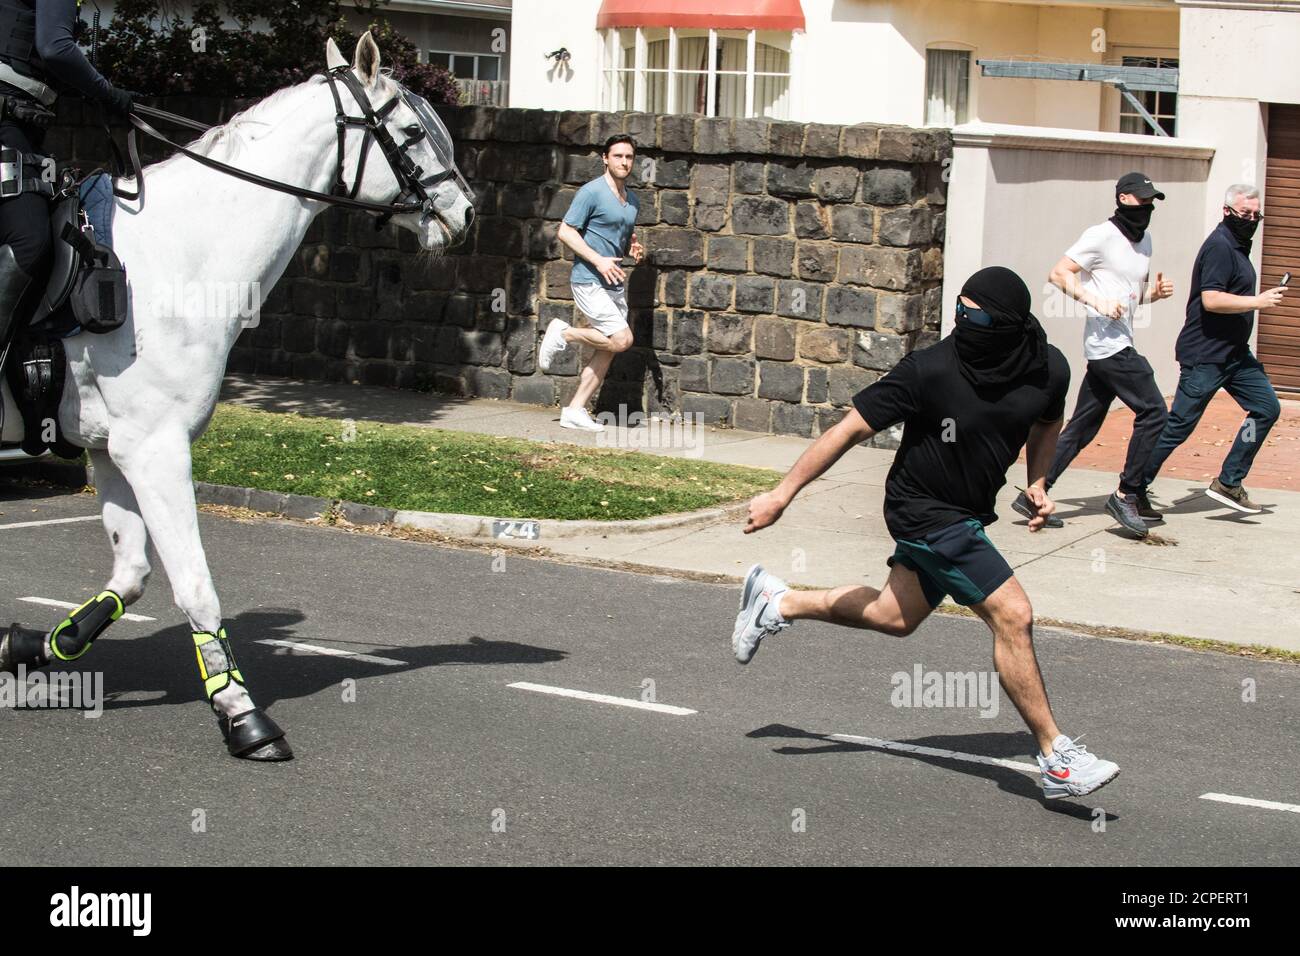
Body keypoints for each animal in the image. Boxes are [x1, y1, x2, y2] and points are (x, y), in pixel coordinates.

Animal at [0, 33, 475, 759]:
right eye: (413, 131)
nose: (466, 214)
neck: (174, 259)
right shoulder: (156, 451)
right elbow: (195, 585)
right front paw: (241, 713)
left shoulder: (112, 450)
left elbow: (130, 575)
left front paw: (32, 644)